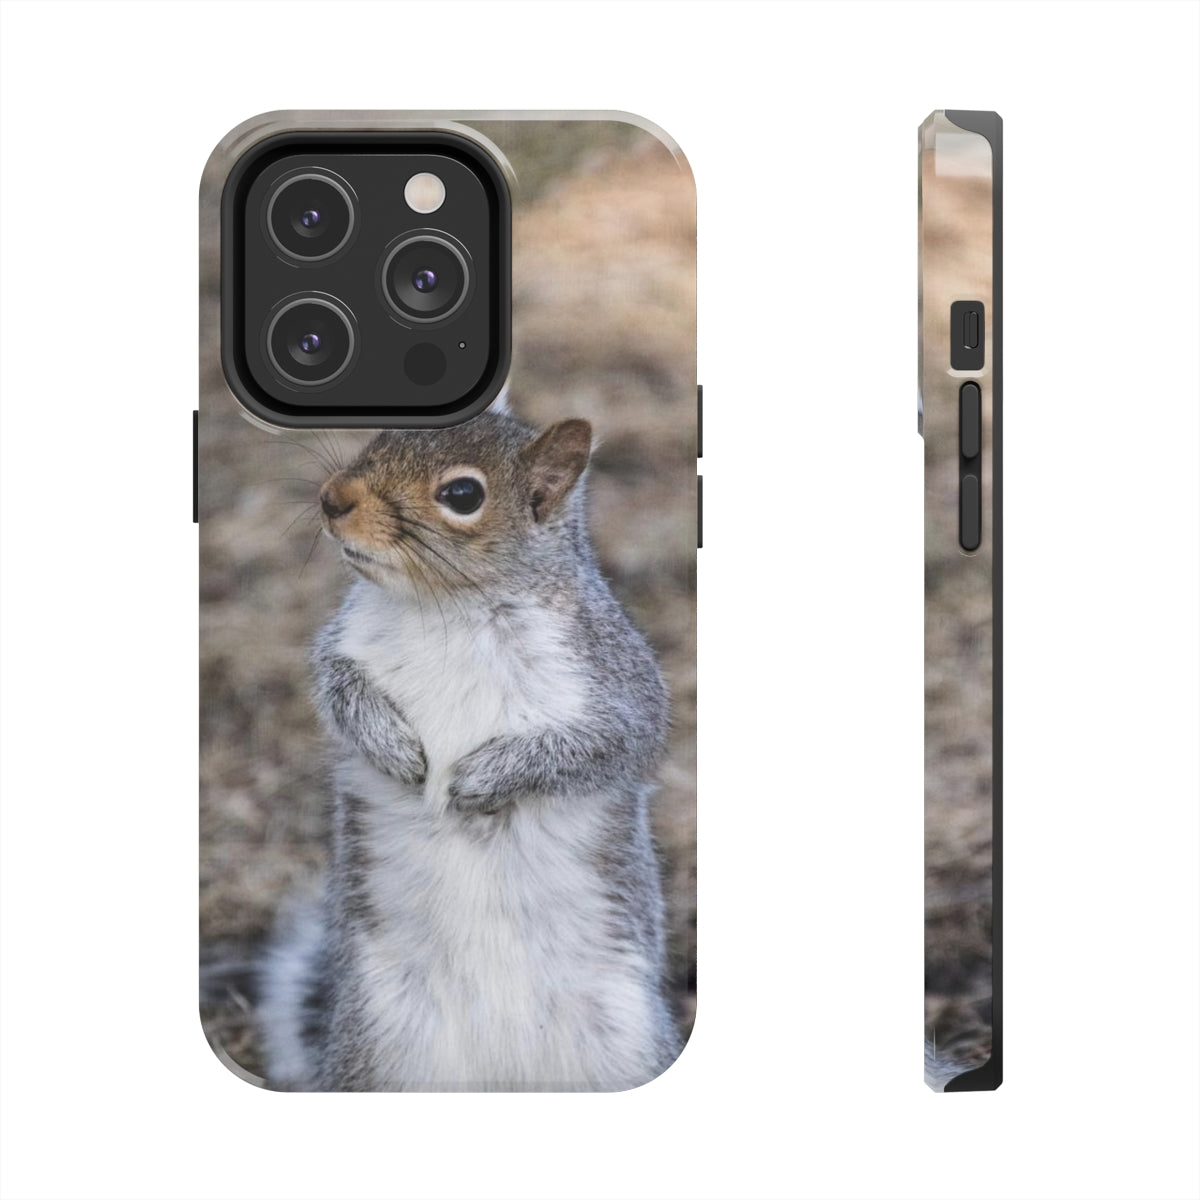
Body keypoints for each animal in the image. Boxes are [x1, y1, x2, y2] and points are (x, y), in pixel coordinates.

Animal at [258, 408, 679, 1091]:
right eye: (382, 435)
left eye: (462, 495)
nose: (332, 498)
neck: (448, 606)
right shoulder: (342, 646)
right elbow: (337, 690)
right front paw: (394, 747)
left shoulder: (615, 682)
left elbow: (601, 745)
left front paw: (482, 780)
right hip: (381, 1049)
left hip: (625, 1044)